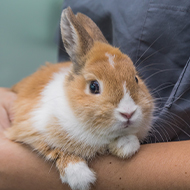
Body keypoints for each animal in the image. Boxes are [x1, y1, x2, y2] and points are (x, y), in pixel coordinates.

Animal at [5, 6, 154, 190]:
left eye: (136, 79)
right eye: (94, 86)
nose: (128, 113)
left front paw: (126, 146)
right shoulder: (31, 128)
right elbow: (57, 149)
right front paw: (80, 177)